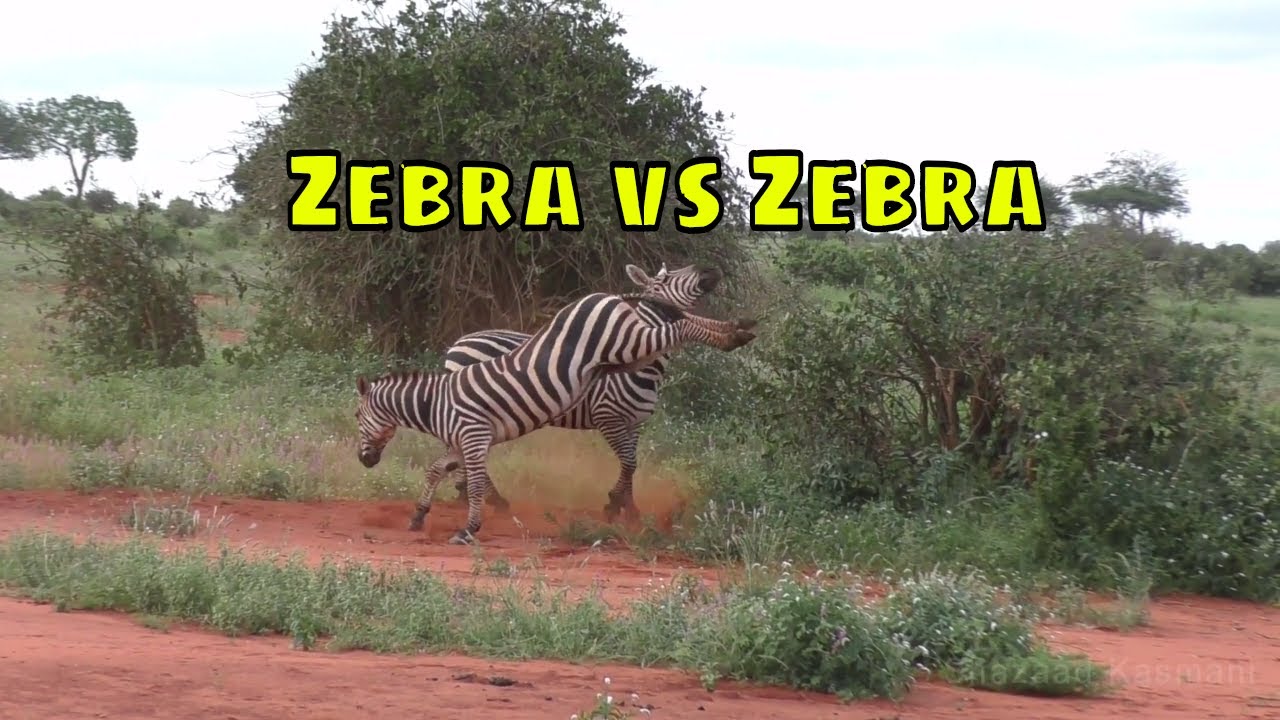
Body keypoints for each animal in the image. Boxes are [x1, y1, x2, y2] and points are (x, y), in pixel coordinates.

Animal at [354, 291, 757, 544]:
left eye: (357, 415)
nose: (363, 460)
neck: (436, 401)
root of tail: (602, 296)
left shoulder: (473, 436)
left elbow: (476, 482)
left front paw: (468, 530)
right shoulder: (461, 441)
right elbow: (436, 470)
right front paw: (419, 516)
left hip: (626, 341)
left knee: (679, 326)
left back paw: (731, 337)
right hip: (630, 346)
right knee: (680, 320)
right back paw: (737, 328)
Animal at [438, 262, 725, 521]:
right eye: (665, 279)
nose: (710, 269)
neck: (643, 365)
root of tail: (458, 343)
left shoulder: (636, 422)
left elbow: (631, 464)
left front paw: (629, 508)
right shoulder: (607, 416)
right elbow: (628, 462)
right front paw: (614, 505)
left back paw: (467, 495)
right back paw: (491, 499)